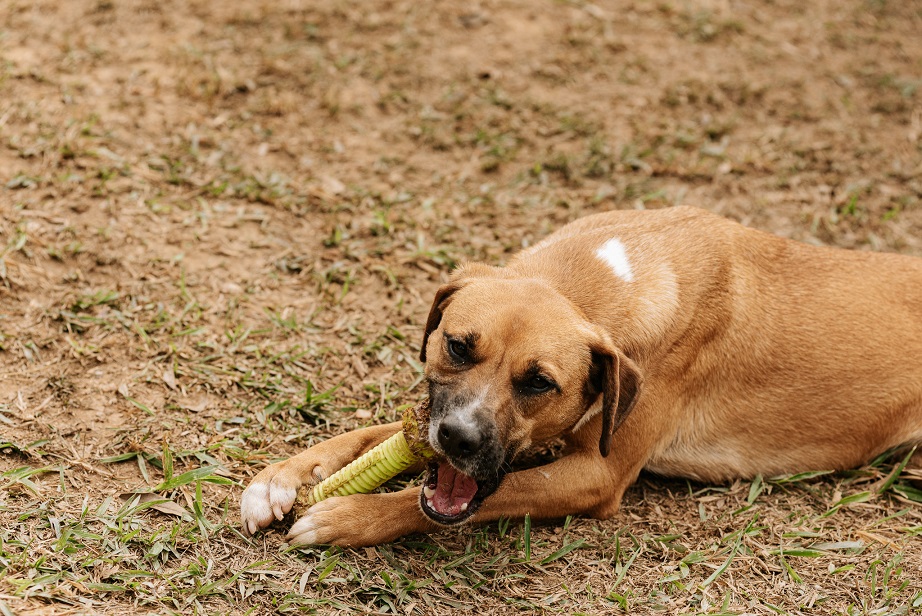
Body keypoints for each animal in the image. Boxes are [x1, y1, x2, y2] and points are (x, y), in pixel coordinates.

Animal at [239, 209, 920, 548]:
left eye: (540, 383)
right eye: (457, 346)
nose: (459, 439)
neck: (591, 280)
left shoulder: (596, 475)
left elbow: (471, 494)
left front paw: (348, 517)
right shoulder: (433, 420)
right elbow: (365, 437)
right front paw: (281, 478)